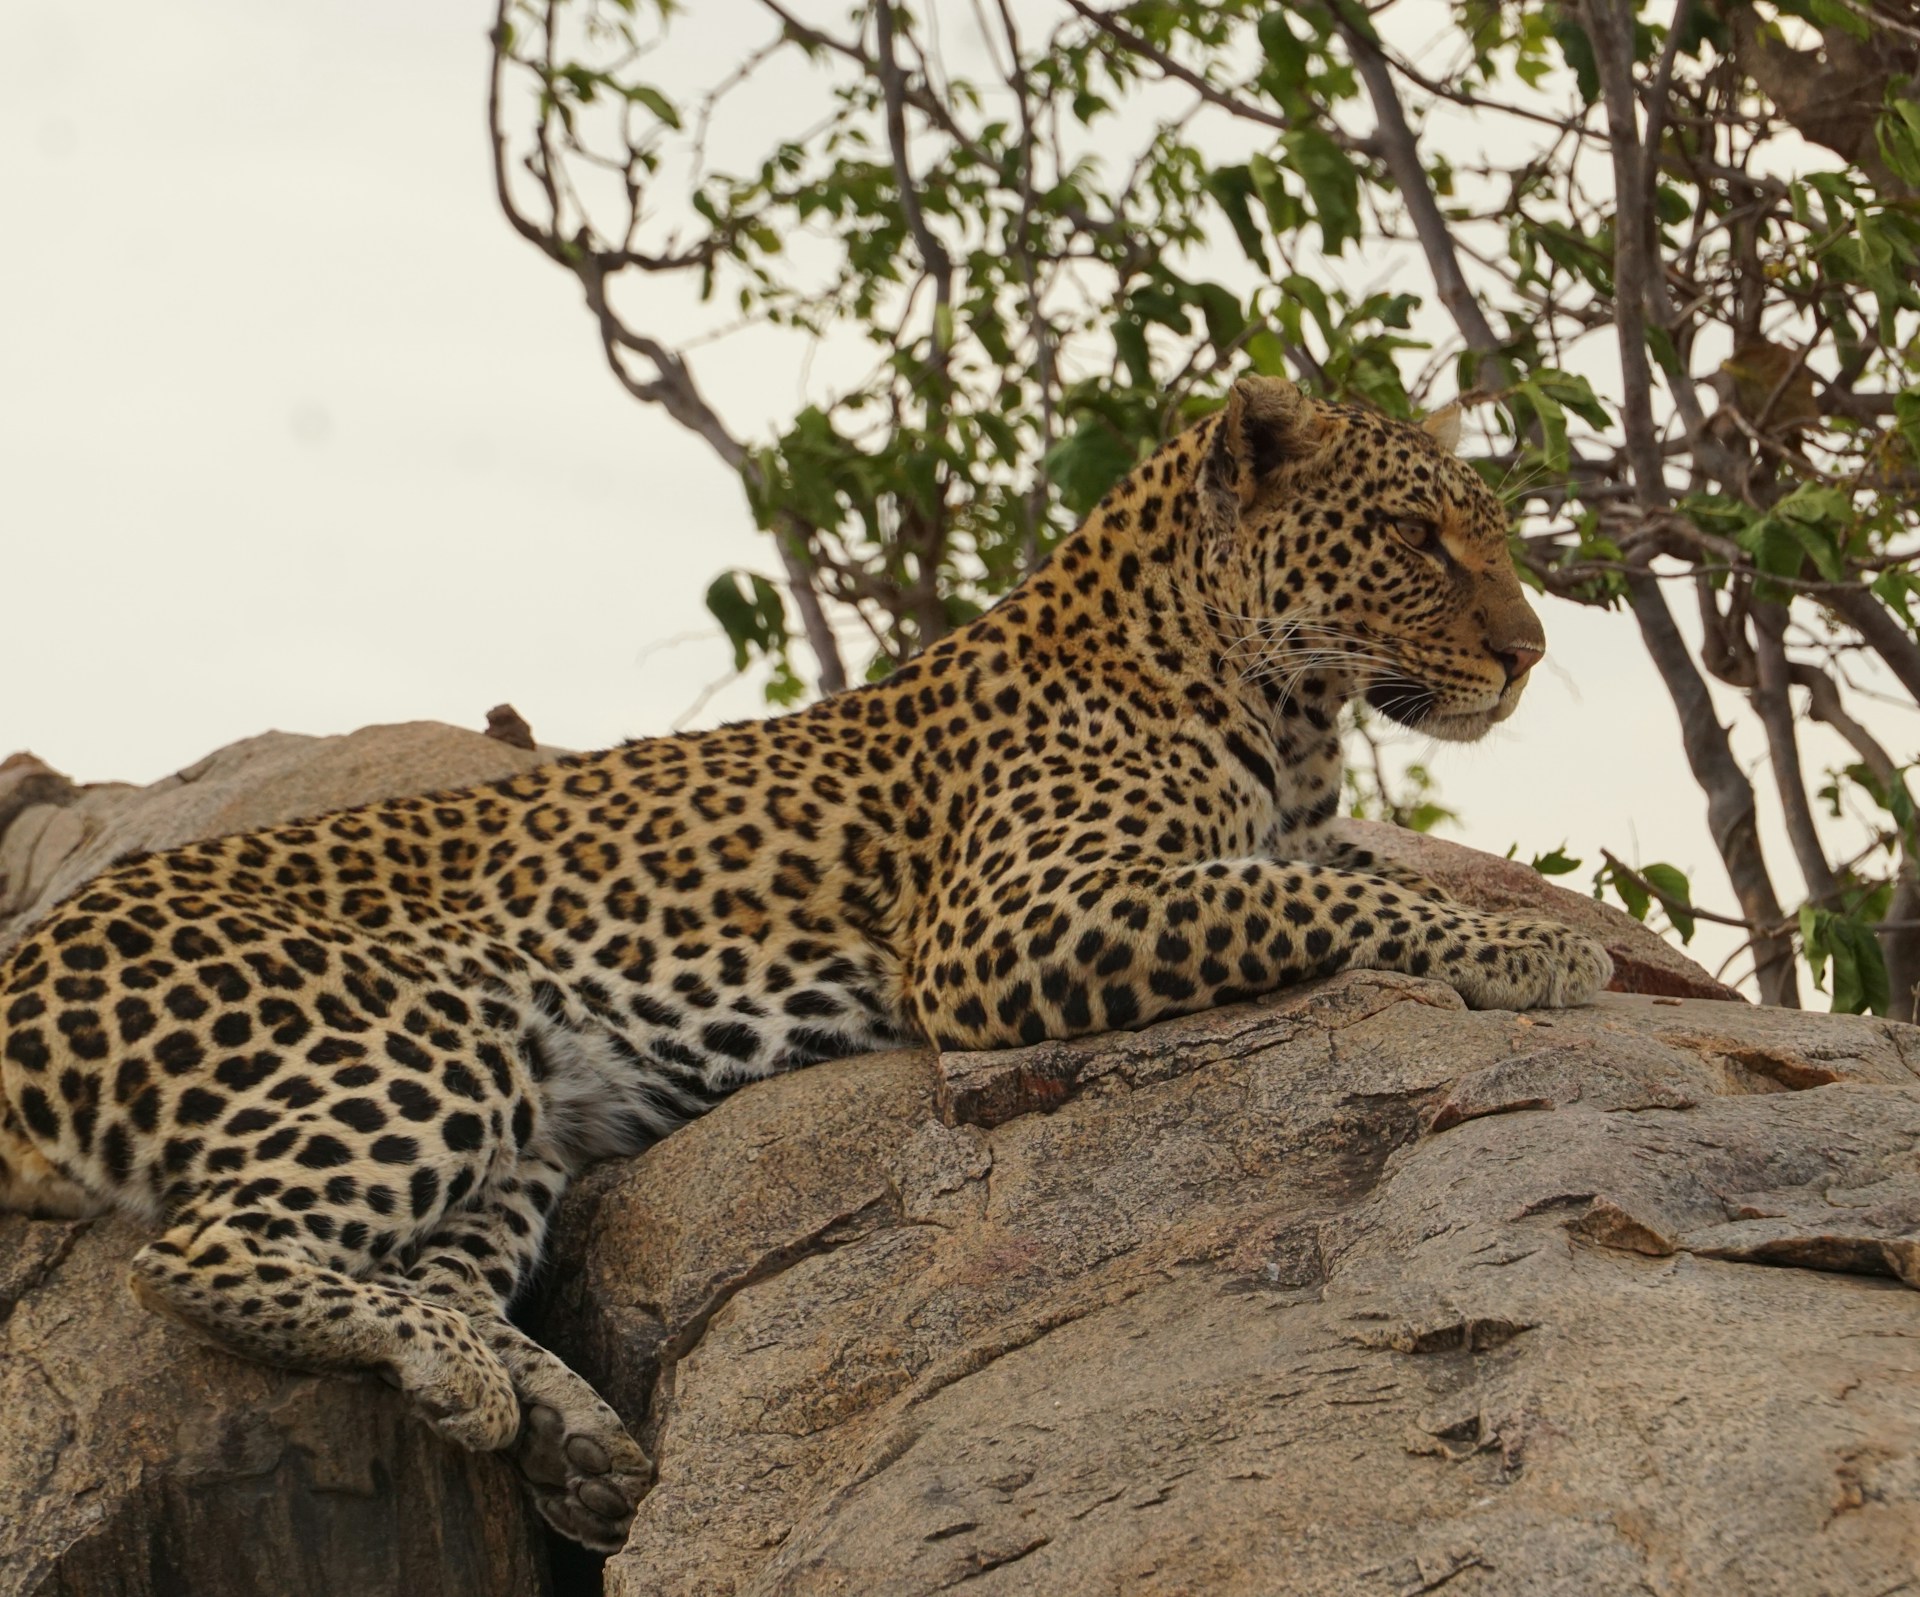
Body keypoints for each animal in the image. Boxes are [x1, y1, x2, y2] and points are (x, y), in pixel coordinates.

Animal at [0, 376, 1610, 1551]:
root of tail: (34, 946)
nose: (1531, 654)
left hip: (527, 1116)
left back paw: (573, 1441)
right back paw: (465, 1377)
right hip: (428, 1032)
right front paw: (1536, 946)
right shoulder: (1009, 919)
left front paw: (1544, 927)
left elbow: (1351, 874)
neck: (1280, 707)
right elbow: (1316, 901)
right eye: (1417, 537)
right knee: (195, 1253)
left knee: (435, 1272)